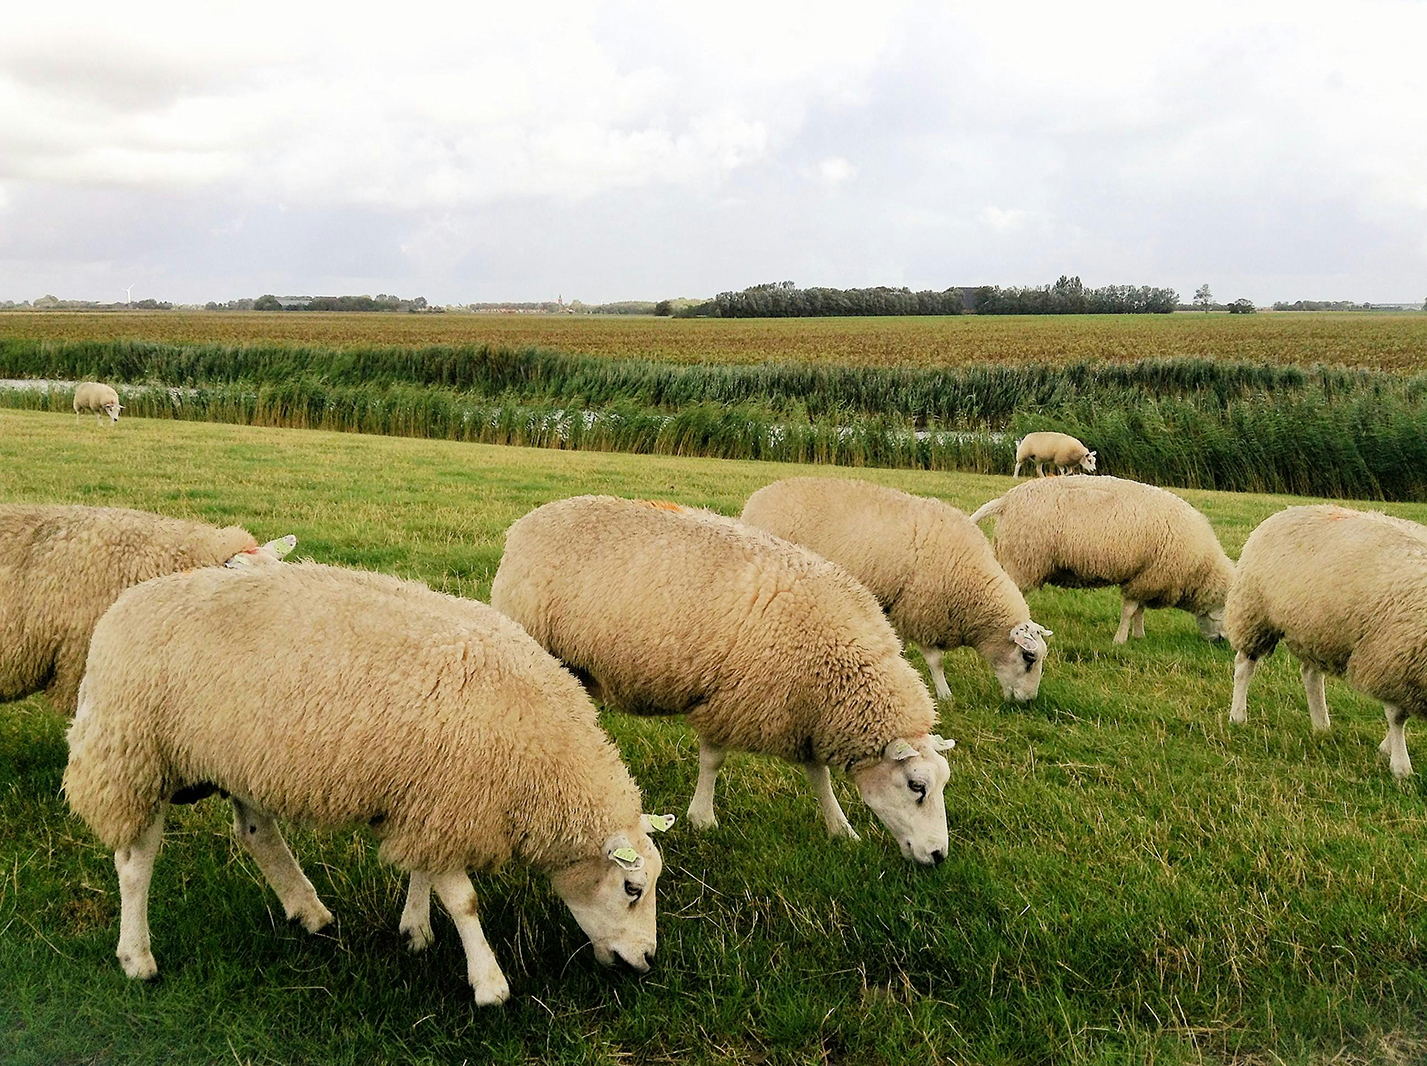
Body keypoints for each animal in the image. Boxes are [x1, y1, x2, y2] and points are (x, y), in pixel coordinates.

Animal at [61, 562, 673, 1004]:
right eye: (632, 888)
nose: (647, 961)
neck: (542, 752)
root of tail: (121, 606)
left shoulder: (429, 799)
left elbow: (425, 871)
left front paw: (416, 930)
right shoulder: (445, 797)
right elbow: (465, 900)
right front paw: (489, 983)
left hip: (241, 755)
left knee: (257, 833)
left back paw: (309, 912)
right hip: (135, 753)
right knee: (135, 862)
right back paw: (137, 957)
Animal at [490, 490, 958, 867]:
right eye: (917, 786)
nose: (938, 856)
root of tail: (527, 522)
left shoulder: (804, 711)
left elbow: (818, 776)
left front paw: (840, 828)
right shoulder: (729, 698)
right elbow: (713, 760)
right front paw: (702, 819)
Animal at [742, 479, 1055, 704]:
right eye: (1029, 658)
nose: (1028, 701)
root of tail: (757, 498)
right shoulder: (919, 611)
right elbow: (936, 660)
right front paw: (944, 694)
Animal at [970, 479, 1238, 645]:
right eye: (1225, 610)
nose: (1222, 642)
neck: (1199, 566)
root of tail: (1006, 500)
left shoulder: (1145, 577)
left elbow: (1139, 611)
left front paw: (1139, 635)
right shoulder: (1147, 576)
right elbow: (1129, 610)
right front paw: (1120, 640)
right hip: (1023, 559)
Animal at [1221, 505, 1427, 782]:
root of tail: (1286, 510)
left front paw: (1387, 749)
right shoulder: (1391, 658)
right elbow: (1397, 716)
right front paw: (1400, 765)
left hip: (1316, 630)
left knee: (1310, 675)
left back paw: (1321, 725)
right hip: (1255, 612)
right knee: (1244, 666)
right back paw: (1238, 715)